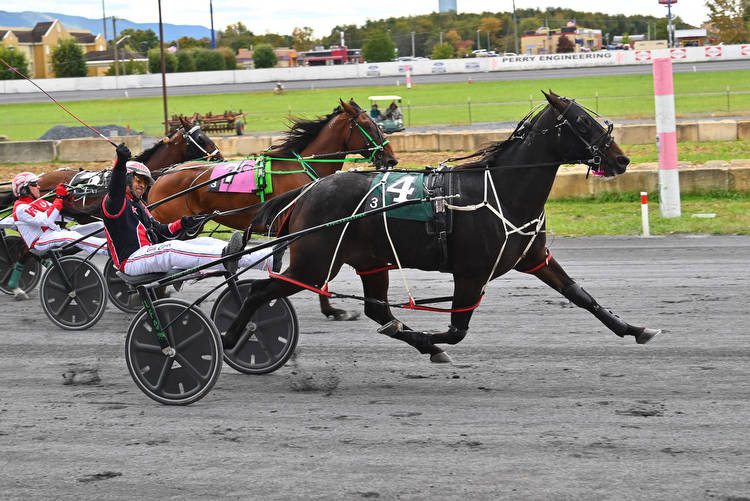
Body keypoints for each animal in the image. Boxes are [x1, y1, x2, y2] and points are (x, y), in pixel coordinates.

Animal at [146, 98, 400, 318]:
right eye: (368, 125)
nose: (391, 159)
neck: (300, 166)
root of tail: (162, 175)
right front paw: (329, 309)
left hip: (189, 226)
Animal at [225, 91, 664, 360]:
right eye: (582, 123)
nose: (622, 159)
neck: (502, 191)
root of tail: (308, 190)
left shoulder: (534, 257)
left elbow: (581, 295)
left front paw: (634, 328)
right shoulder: (471, 271)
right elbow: (456, 329)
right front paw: (432, 340)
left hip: (368, 262)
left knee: (378, 310)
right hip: (315, 264)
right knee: (259, 292)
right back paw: (230, 338)